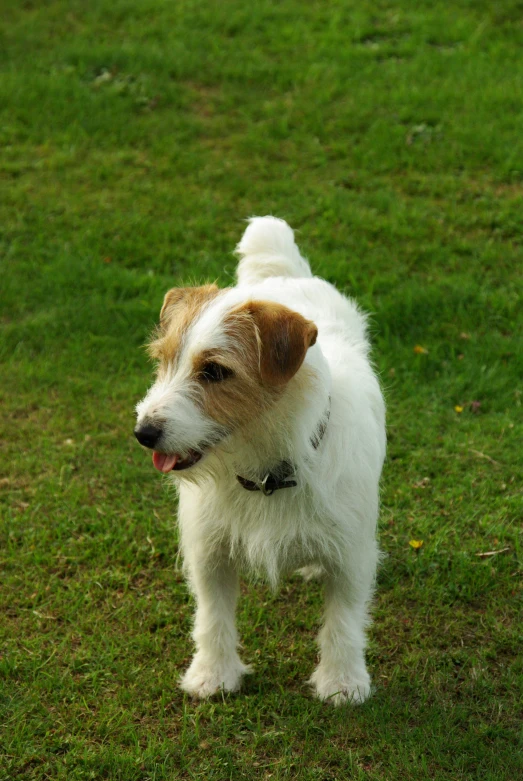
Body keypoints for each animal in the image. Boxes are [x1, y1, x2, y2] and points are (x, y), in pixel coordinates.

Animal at [135, 216, 386, 704]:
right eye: (164, 360)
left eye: (214, 371)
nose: (144, 433)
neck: (266, 468)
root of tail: (281, 275)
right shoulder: (209, 552)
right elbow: (212, 617)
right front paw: (212, 674)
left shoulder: (351, 556)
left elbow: (344, 620)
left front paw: (343, 681)